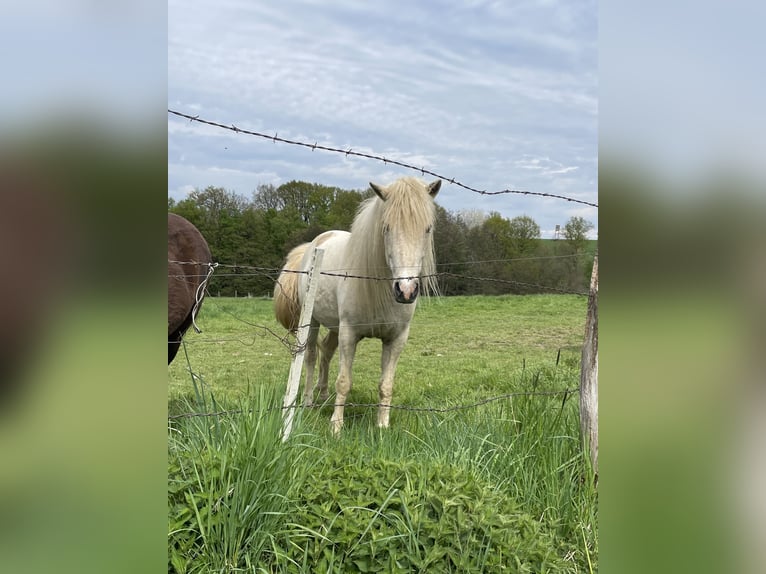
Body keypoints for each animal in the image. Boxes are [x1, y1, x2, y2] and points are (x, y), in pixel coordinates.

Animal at [274, 176, 441, 434]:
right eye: (386, 228)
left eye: (427, 229)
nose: (406, 290)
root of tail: (315, 243)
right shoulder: (349, 334)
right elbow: (344, 381)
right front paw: (336, 427)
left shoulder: (396, 339)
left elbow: (386, 384)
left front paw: (382, 425)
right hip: (312, 321)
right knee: (311, 355)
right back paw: (310, 401)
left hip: (334, 326)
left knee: (326, 352)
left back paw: (323, 394)